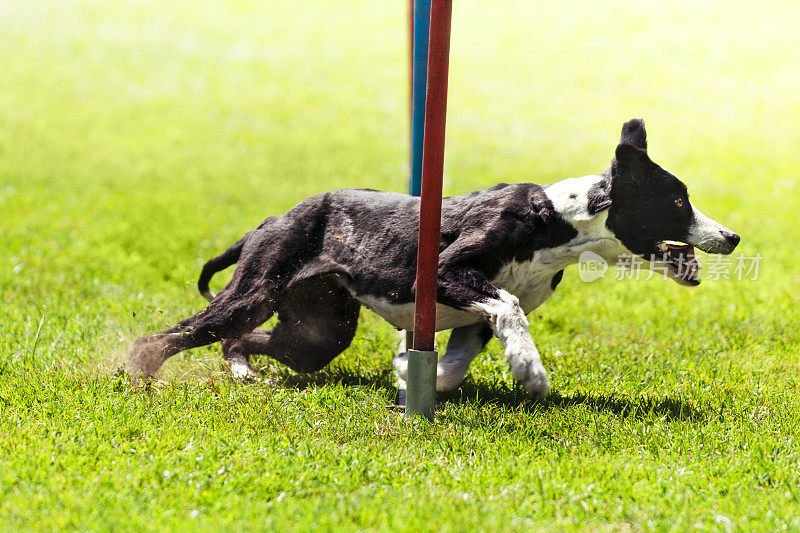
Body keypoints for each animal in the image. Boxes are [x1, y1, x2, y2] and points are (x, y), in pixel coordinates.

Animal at [128, 118, 740, 396]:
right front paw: (531, 371)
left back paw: (243, 371)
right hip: (256, 290)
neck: (560, 222)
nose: (732, 237)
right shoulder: (448, 274)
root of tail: (271, 220)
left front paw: (414, 375)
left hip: (318, 330)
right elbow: (510, 307)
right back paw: (137, 377)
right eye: (677, 200)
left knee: (240, 340)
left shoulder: (475, 318)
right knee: (169, 336)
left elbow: (458, 359)